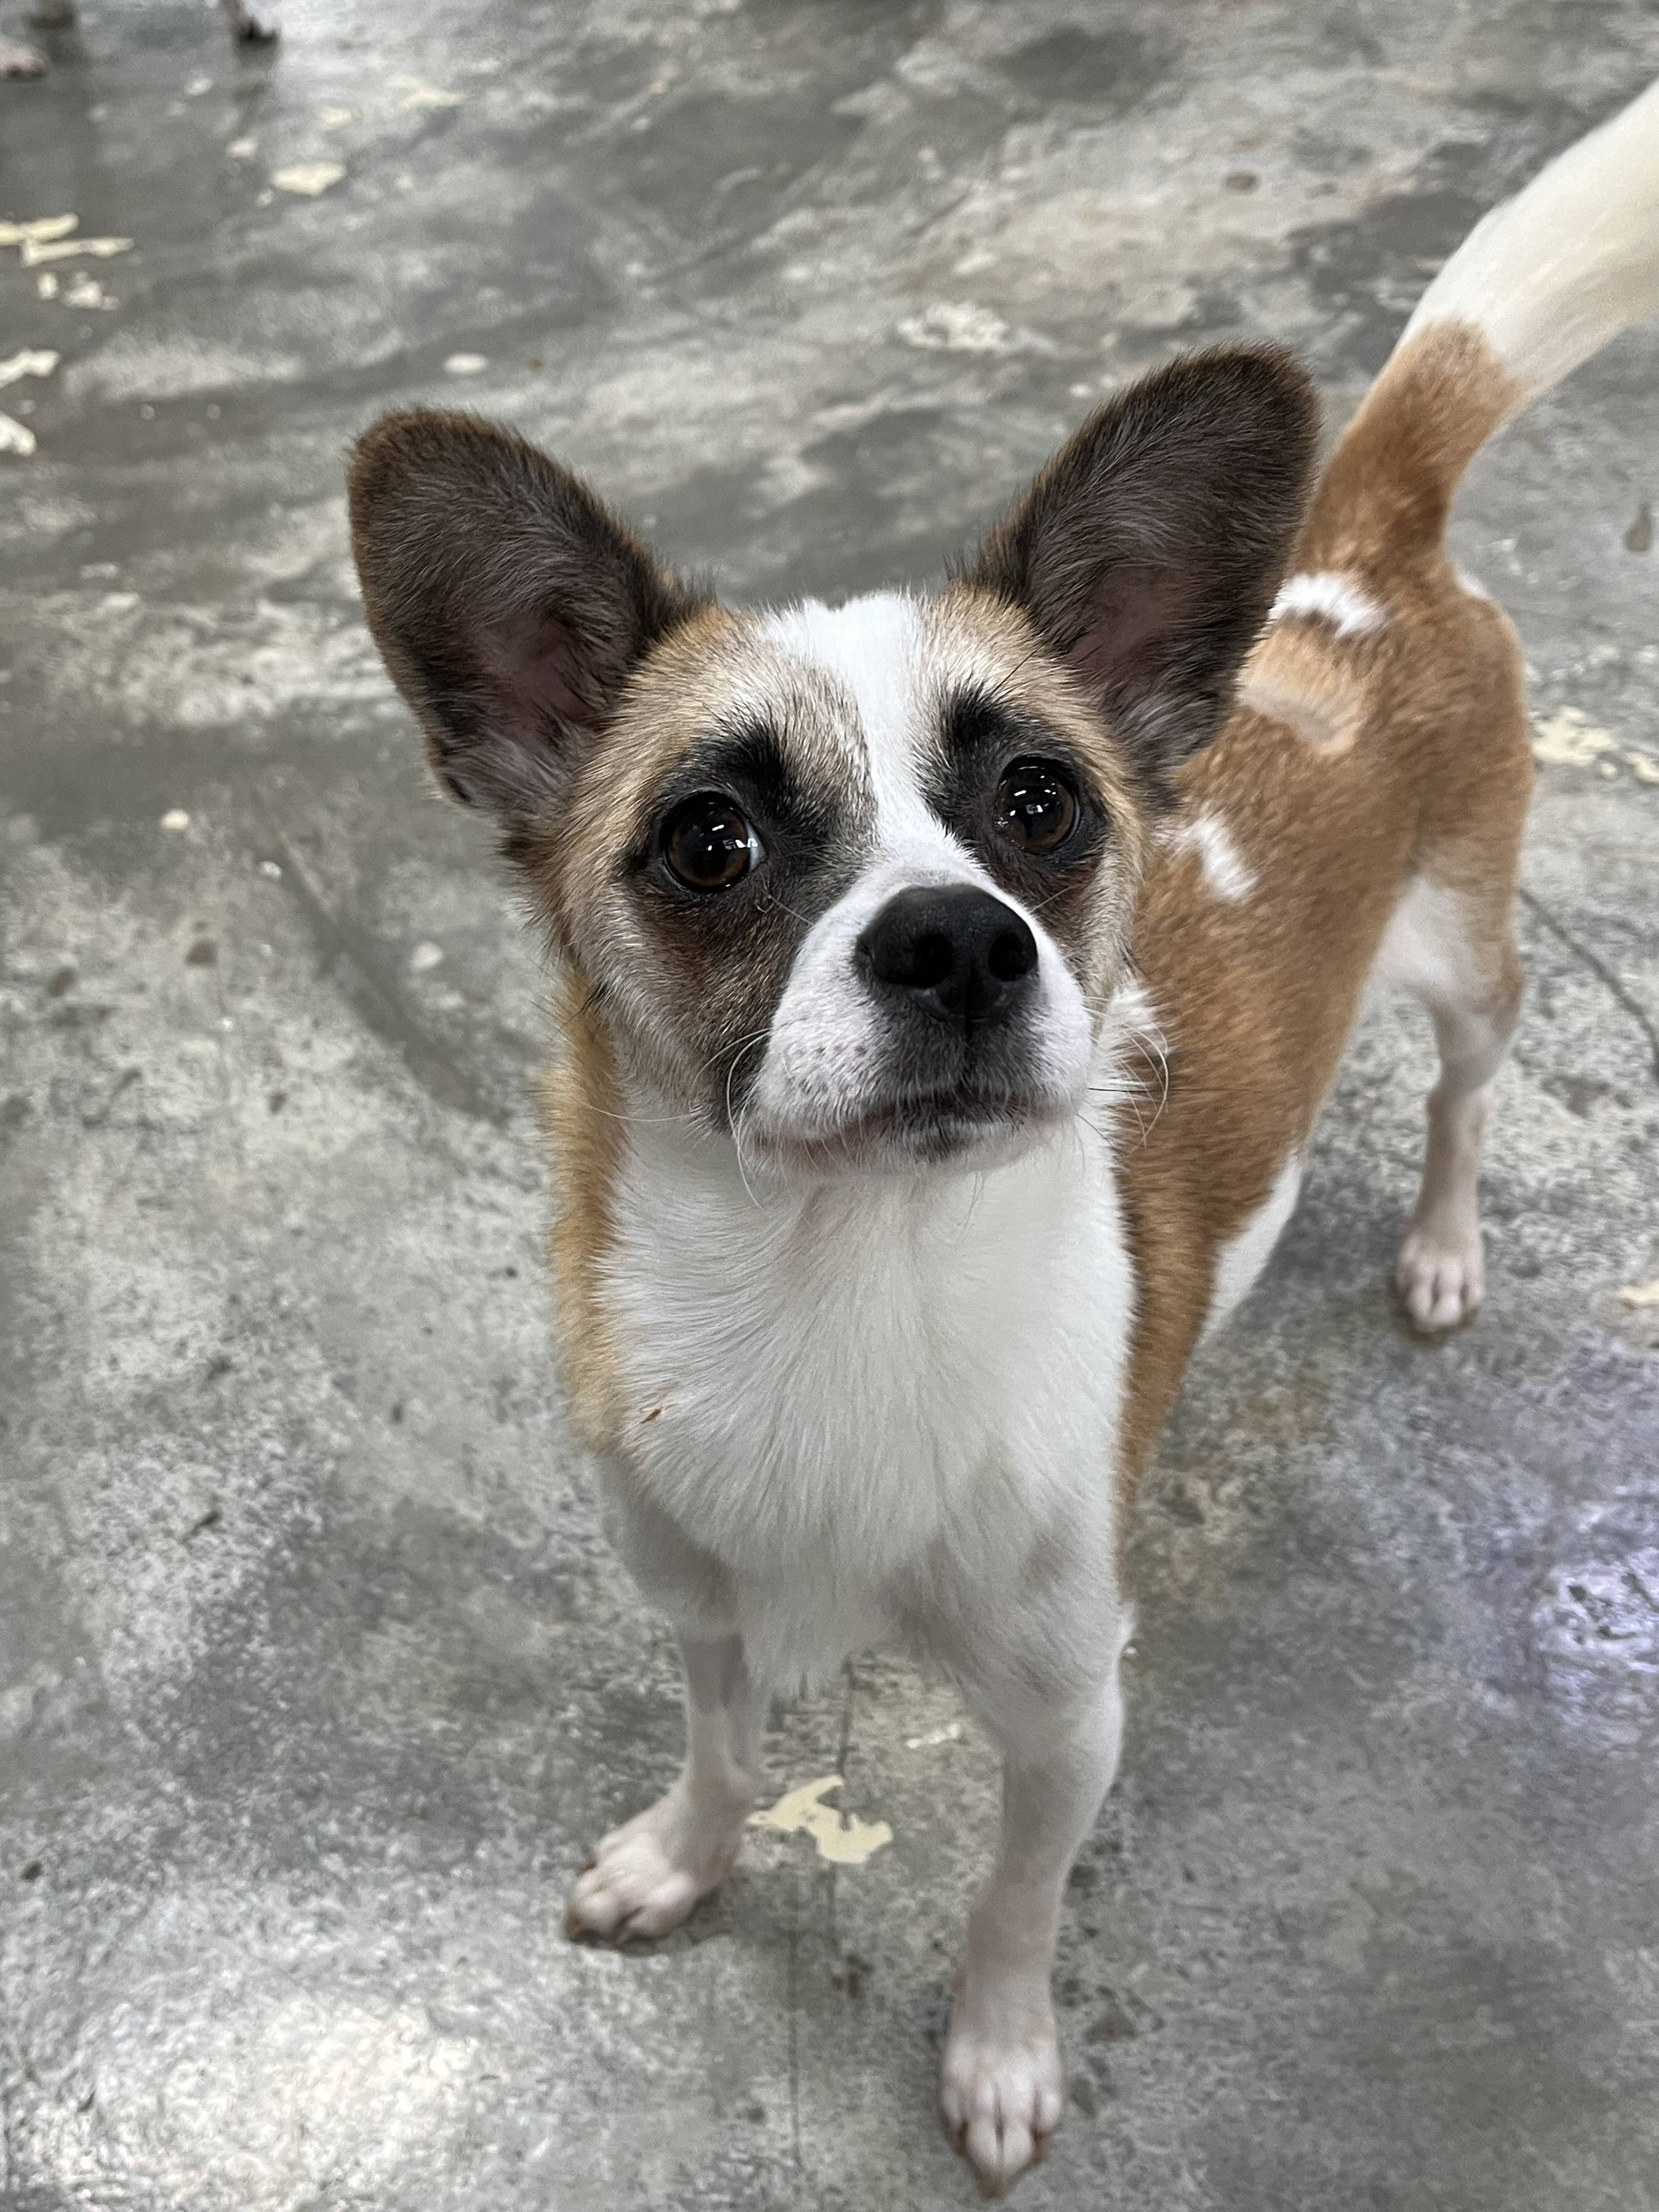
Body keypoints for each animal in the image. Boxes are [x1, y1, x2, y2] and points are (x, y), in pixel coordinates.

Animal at [352, 82, 1659, 2194]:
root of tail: (1359, 546)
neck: (839, 1282)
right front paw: (683, 1859)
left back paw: (1444, 1245)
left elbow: (1010, 1898)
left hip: (1472, 953)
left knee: (1463, 1092)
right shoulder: (700, 1611)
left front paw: (996, 2055)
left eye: (1043, 803)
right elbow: (724, 1750)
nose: (961, 939)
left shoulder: (1064, 1716)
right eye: (708, 840)